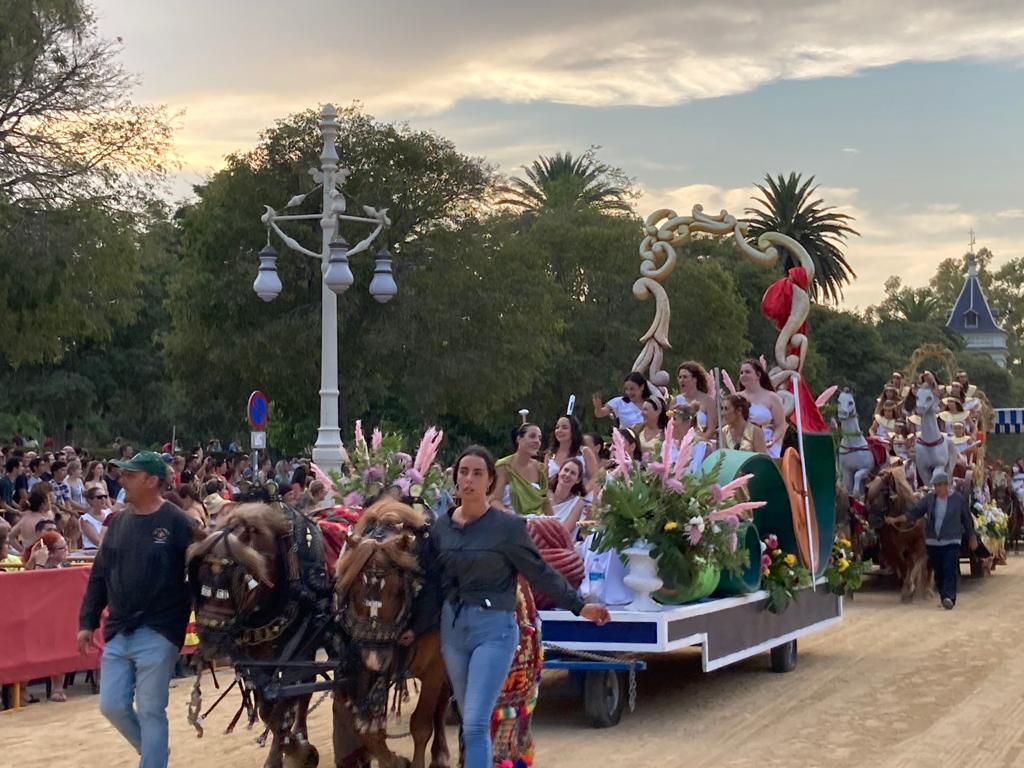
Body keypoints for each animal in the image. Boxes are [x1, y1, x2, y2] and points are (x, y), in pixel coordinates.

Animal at [184, 505, 327, 768]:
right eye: (199, 575)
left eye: (239, 580)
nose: (210, 636)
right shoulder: (259, 658)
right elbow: (267, 709)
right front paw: (290, 748)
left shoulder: (299, 652)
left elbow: (287, 700)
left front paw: (296, 750)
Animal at [333, 499, 450, 768]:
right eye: (354, 588)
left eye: (398, 589)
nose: (375, 658)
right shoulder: (365, 664)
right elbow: (368, 731)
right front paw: (394, 760)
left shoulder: (435, 668)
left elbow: (421, 726)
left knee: (442, 703)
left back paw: (441, 753)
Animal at [864, 466, 929, 606]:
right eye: (868, 490)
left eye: (884, 491)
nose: (873, 520)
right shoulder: (891, 547)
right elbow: (903, 564)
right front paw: (907, 590)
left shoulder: (919, 543)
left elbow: (914, 563)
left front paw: (910, 588)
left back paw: (926, 591)